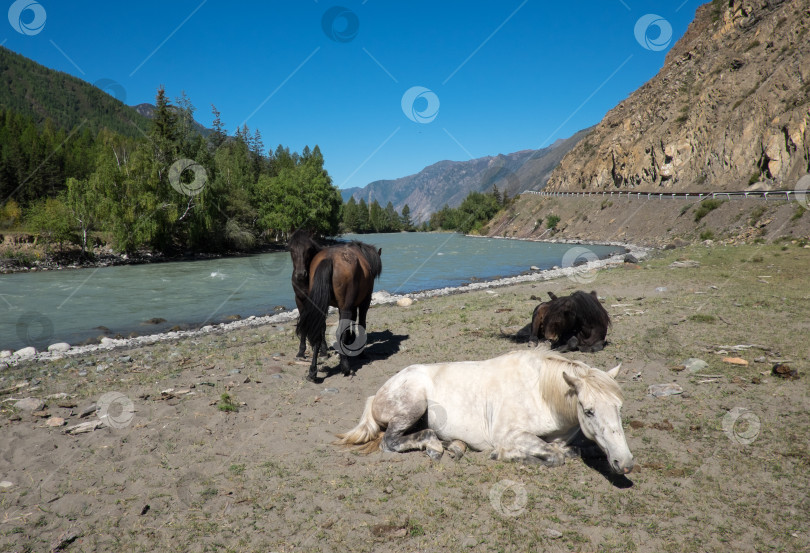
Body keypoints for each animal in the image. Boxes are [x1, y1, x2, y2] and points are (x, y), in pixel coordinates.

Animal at [290, 231, 382, 382]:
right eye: (291, 250)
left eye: (308, 250)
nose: (300, 274)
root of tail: (329, 259)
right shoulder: (363, 302)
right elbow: (360, 323)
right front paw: (360, 350)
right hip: (345, 306)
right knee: (338, 331)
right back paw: (345, 367)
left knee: (317, 332)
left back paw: (313, 371)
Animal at [332, 350, 632, 474]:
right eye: (589, 411)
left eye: (619, 407)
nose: (625, 463)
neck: (540, 392)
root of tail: (377, 394)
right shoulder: (509, 434)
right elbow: (553, 456)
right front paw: (507, 456)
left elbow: (566, 450)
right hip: (412, 406)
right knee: (390, 442)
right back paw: (434, 446)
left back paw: (452, 446)